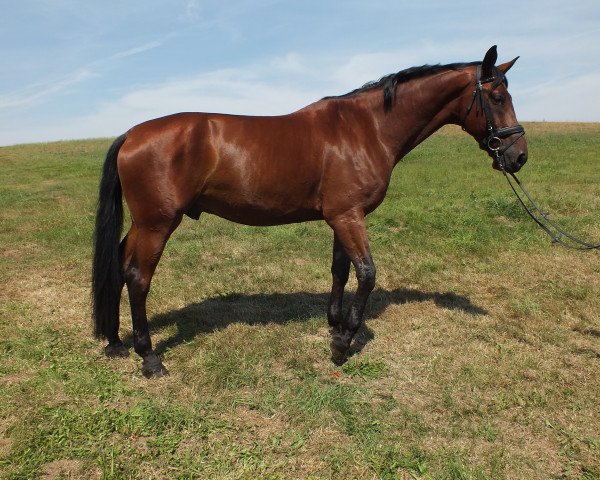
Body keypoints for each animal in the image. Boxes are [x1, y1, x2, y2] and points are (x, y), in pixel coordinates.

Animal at [91, 45, 528, 376]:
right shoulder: (349, 217)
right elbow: (366, 275)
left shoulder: (342, 216)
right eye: (496, 97)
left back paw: (114, 340)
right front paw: (343, 344)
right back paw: (149, 358)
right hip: (157, 224)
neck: (366, 128)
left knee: (117, 264)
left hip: (143, 224)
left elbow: (340, 270)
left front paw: (334, 326)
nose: (518, 156)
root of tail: (131, 134)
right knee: (138, 277)